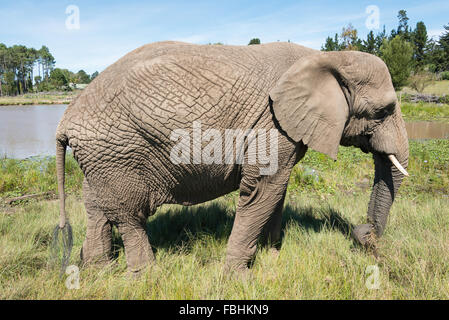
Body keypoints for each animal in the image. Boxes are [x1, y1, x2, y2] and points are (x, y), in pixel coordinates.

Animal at [54, 41, 408, 274]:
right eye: (382, 111)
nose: (363, 233)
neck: (327, 58)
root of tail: (66, 118)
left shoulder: (282, 128)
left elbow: (276, 189)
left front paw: (271, 257)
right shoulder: (272, 122)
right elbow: (263, 189)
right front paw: (239, 277)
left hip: (102, 156)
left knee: (96, 205)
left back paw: (99, 270)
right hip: (117, 149)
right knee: (128, 214)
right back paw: (148, 276)